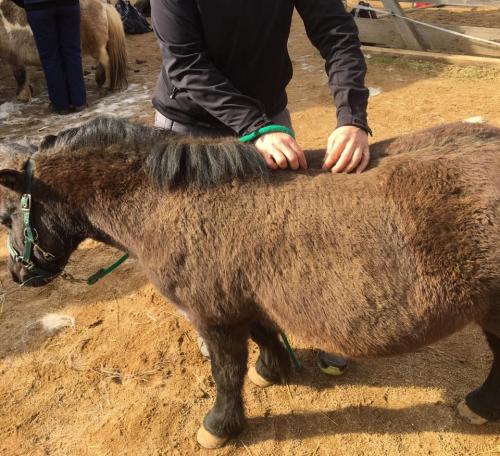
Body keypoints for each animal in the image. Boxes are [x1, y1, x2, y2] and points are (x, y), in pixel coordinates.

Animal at [0, 0, 128, 100]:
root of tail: (103, 5)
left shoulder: (14, 57)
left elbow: (20, 76)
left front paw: (22, 96)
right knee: (102, 62)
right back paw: (100, 80)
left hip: (96, 48)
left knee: (107, 61)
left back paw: (108, 86)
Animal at [0, 118, 498, 448]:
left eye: (6, 216)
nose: (19, 275)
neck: (168, 203)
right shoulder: (246, 301)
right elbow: (264, 336)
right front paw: (271, 371)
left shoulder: (213, 315)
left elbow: (226, 372)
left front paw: (219, 426)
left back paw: (479, 405)